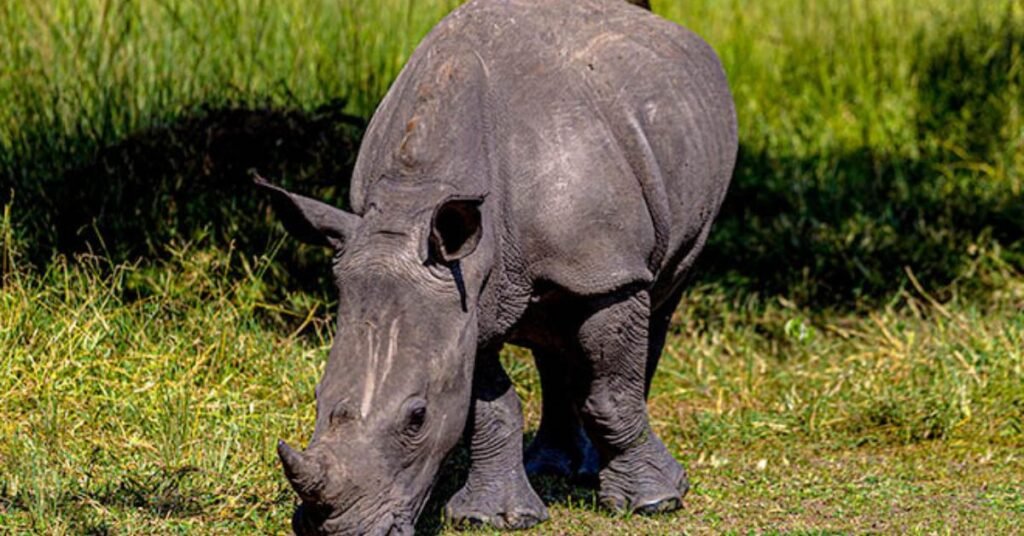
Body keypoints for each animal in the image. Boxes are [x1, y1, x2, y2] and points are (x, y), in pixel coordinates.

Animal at [256, 0, 737, 532]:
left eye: (417, 417)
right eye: (317, 397)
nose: (335, 531)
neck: (414, 200)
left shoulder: (603, 268)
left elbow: (612, 390)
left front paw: (655, 502)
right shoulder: (462, 291)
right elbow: (484, 403)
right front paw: (496, 518)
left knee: (659, 300)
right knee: (553, 328)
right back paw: (552, 466)